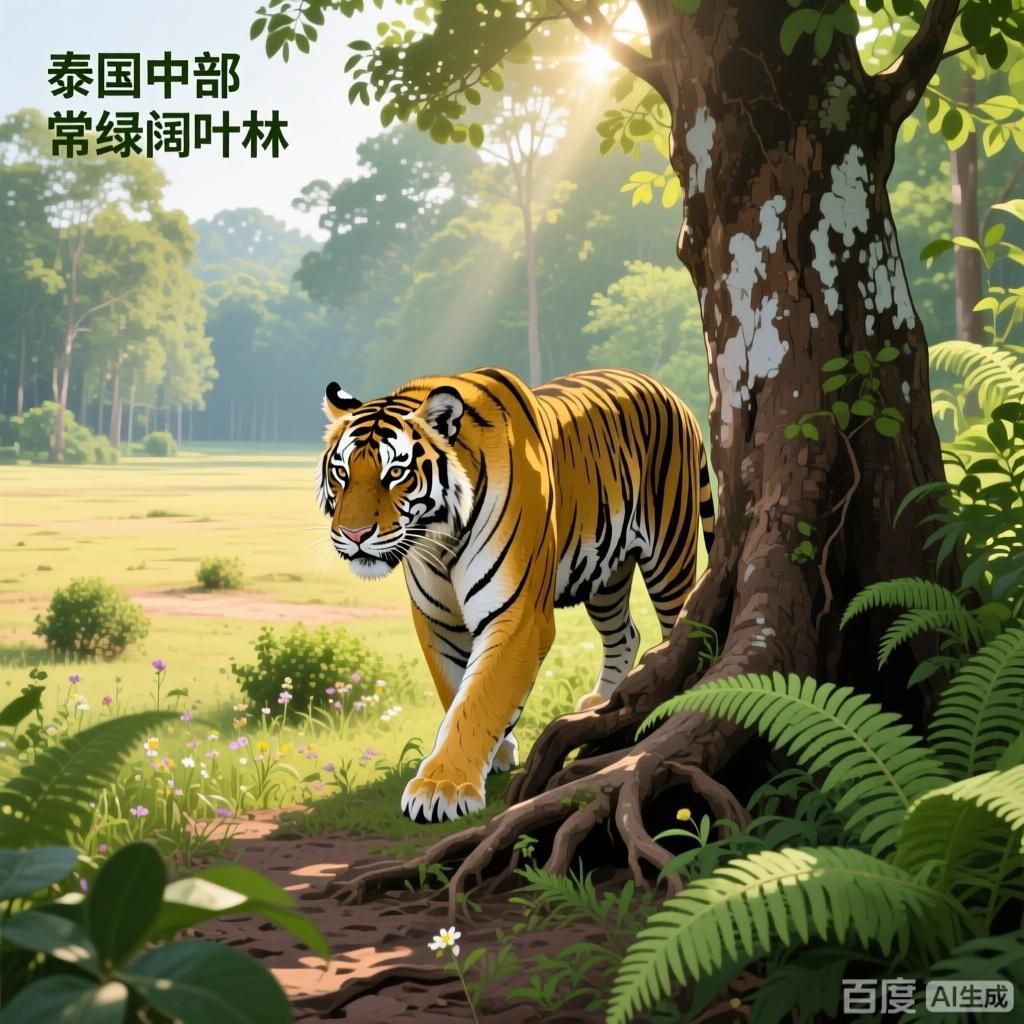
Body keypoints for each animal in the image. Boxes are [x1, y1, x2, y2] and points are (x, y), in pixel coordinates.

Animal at [317, 367, 714, 822]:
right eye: (342, 473)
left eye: (396, 473)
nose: (354, 535)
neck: (438, 538)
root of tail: (665, 389)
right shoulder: (437, 620)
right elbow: (456, 688)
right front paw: (497, 752)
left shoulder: (517, 616)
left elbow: (482, 696)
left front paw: (442, 788)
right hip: (606, 573)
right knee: (625, 633)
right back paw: (602, 703)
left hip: (669, 554)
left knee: (680, 627)